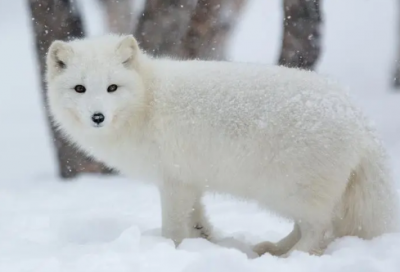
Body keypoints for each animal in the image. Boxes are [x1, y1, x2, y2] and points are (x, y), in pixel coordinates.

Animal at [45, 34, 398, 258]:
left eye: (112, 88)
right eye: (79, 88)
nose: (98, 117)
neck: (147, 100)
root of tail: (358, 118)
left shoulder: (173, 182)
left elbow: (173, 228)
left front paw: (172, 251)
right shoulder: (190, 183)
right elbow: (197, 219)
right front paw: (204, 242)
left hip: (290, 190)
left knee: (319, 231)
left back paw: (290, 260)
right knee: (308, 229)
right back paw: (273, 249)